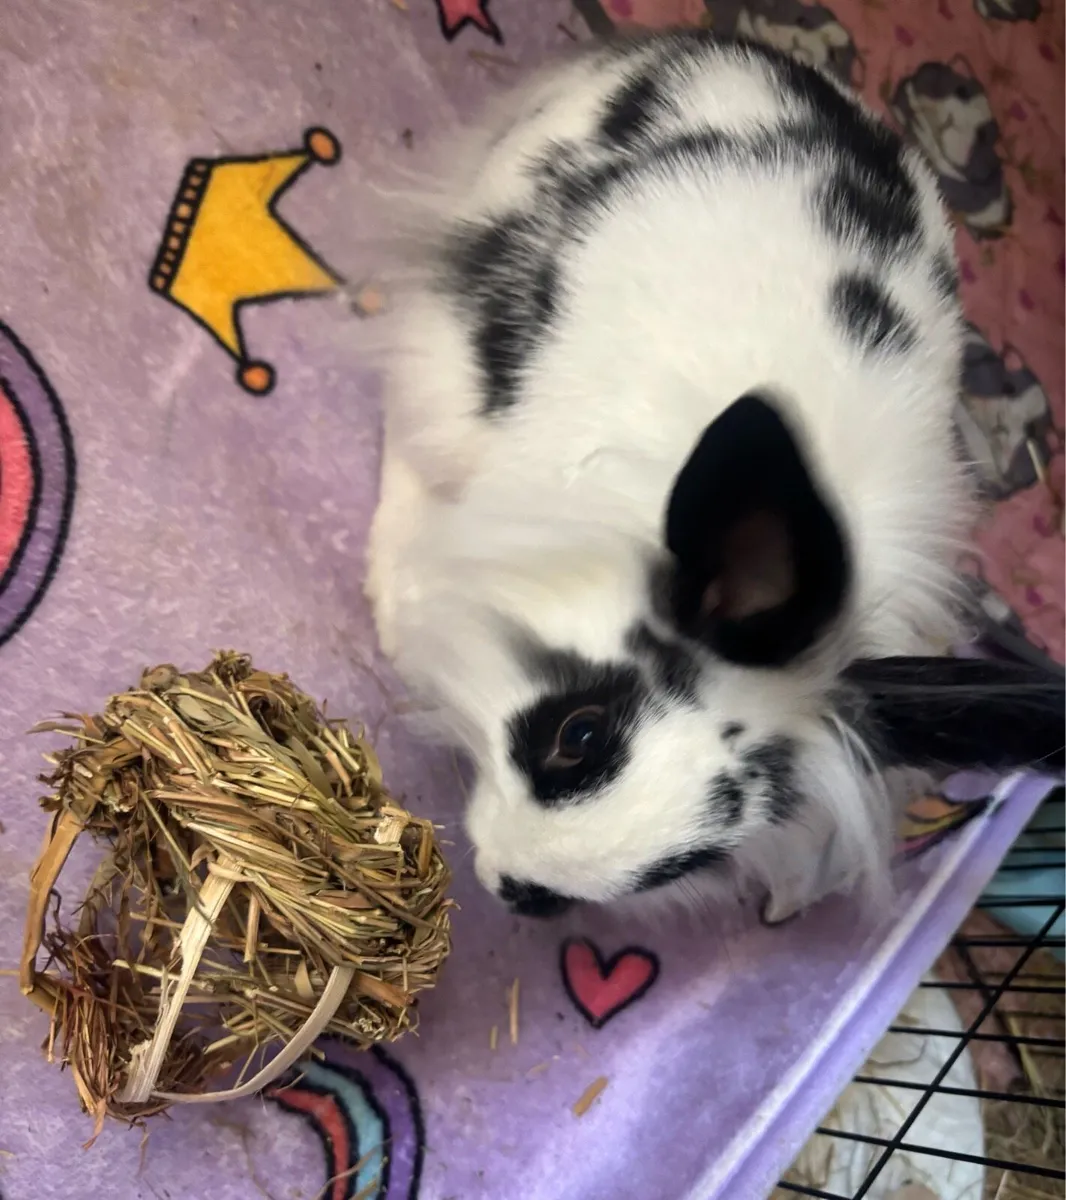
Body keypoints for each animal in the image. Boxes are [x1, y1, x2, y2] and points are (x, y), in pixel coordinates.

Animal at [363, 31, 1064, 922]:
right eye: (578, 732)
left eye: (693, 857)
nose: (507, 884)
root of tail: (727, 48)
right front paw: (406, 614)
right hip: (467, 320)